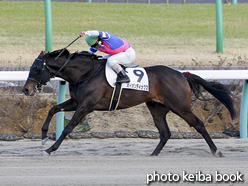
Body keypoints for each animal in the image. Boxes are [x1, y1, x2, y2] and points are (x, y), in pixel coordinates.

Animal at [22, 48, 235, 156]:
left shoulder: (86, 105)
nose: (26, 89)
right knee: (165, 132)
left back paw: (216, 151)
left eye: (35, 69)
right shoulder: (76, 101)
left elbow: (69, 127)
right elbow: (53, 109)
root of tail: (182, 74)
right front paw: (43, 136)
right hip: (157, 108)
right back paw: (153, 154)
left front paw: (50, 149)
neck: (85, 73)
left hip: (181, 107)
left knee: (198, 124)